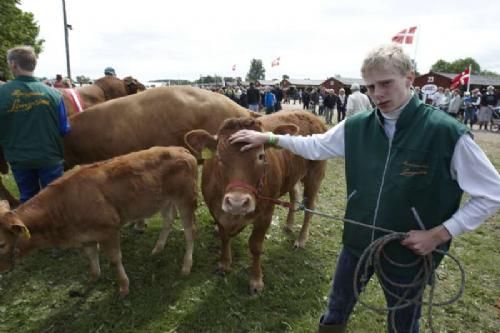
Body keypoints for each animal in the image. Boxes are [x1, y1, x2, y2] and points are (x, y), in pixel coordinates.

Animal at [0, 147, 198, 296]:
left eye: (2, 244)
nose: (2, 270)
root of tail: (180, 149)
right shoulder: (86, 237)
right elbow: (91, 259)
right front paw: (94, 278)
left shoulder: (108, 230)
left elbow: (114, 259)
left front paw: (123, 287)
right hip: (163, 200)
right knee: (168, 219)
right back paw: (158, 247)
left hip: (186, 199)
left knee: (190, 231)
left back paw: (186, 265)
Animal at [186, 111, 326, 294]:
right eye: (219, 158)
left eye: (261, 156)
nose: (237, 202)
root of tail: (310, 114)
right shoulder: (215, 211)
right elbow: (224, 237)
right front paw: (224, 263)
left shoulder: (265, 215)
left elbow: (255, 246)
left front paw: (256, 281)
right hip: (292, 175)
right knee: (294, 194)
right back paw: (289, 224)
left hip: (315, 174)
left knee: (310, 207)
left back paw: (301, 239)